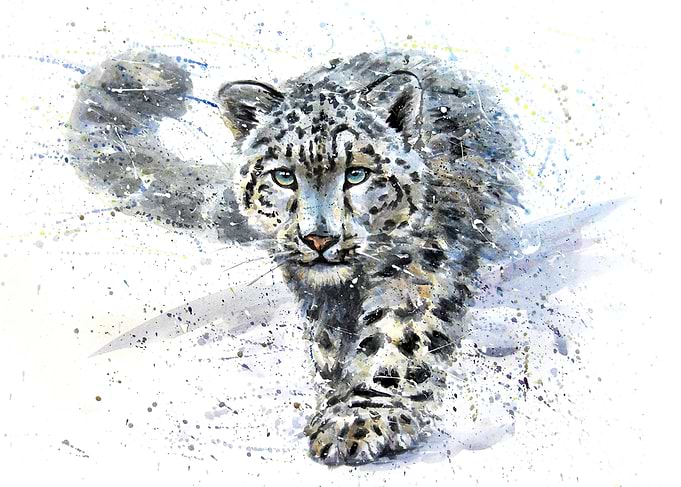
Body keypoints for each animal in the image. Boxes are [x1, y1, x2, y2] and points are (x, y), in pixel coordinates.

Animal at [67, 49, 522, 465]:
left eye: (357, 173)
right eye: (283, 176)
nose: (318, 238)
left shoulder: (418, 267)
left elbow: (397, 337)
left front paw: (359, 417)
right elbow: (332, 341)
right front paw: (339, 390)